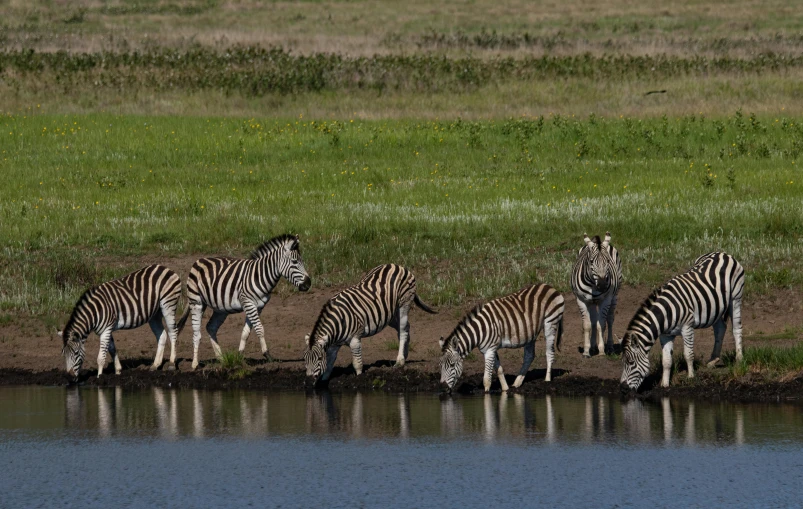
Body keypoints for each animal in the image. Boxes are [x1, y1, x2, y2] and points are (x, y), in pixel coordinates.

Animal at [59, 266, 188, 378]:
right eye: (63, 354)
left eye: (76, 352)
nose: (69, 377)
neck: (95, 312)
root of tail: (166, 268)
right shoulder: (106, 329)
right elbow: (112, 349)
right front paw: (118, 370)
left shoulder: (106, 329)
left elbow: (101, 357)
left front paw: (99, 377)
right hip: (154, 314)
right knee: (162, 335)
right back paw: (155, 365)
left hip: (168, 305)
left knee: (172, 332)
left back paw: (171, 364)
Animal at [188, 233, 310, 370]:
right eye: (294, 262)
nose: (308, 284)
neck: (260, 276)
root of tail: (199, 260)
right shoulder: (248, 303)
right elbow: (259, 328)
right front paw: (267, 354)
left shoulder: (258, 307)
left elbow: (246, 332)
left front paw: (239, 355)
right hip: (196, 302)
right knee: (196, 333)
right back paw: (195, 363)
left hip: (220, 309)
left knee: (211, 327)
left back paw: (221, 358)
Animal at [304, 264, 440, 380]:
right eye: (304, 359)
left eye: (319, 358)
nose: (309, 378)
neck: (339, 322)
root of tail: (397, 265)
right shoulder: (334, 345)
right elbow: (330, 364)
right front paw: (323, 381)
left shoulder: (355, 340)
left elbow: (357, 363)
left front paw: (359, 378)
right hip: (388, 315)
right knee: (406, 327)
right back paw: (404, 355)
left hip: (404, 304)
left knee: (402, 330)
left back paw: (399, 361)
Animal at [620, 252, 748, 390]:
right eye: (623, 362)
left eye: (631, 362)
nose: (623, 388)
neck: (666, 312)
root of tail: (723, 253)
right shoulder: (665, 335)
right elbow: (666, 360)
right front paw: (664, 384)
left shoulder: (687, 327)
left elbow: (688, 354)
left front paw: (691, 376)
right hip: (717, 307)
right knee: (720, 328)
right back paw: (713, 360)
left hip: (735, 298)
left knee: (736, 328)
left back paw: (739, 359)